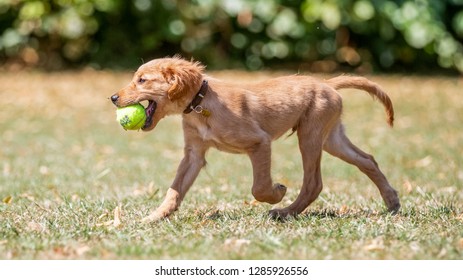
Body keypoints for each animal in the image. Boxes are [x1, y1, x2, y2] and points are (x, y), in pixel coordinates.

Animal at [110, 57, 400, 222]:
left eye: (142, 80)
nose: (112, 98)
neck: (201, 104)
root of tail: (327, 83)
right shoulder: (194, 154)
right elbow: (175, 190)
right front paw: (153, 217)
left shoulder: (259, 142)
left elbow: (258, 188)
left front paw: (277, 192)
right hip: (331, 138)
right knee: (368, 160)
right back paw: (392, 202)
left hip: (310, 135)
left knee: (314, 183)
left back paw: (284, 212)